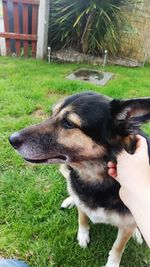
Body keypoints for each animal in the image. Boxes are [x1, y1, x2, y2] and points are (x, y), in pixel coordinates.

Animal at [9, 92, 150, 267]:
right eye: (52, 113)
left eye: (69, 123)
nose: (11, 139)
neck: (95, 178)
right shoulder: (81, 199)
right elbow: (82, 217)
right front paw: (82, 235)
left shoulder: (125, 227)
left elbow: (118, 247)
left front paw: (112, 263)